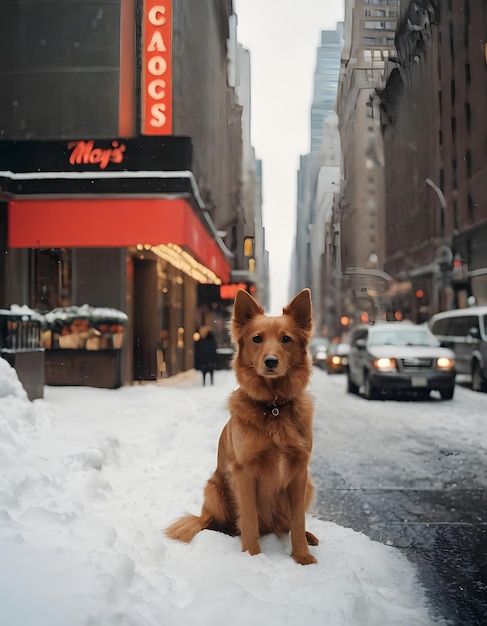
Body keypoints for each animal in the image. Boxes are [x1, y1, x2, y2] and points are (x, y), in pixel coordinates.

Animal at [166, 290, 318, 564]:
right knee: (217, 524)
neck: (274, 407)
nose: (270, 361)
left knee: (287, 524)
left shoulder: (300, 473)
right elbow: (248, 520)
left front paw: (302, 556)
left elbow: (298, 520)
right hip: (214, 489)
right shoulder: (245, 472)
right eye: (257, 339)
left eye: (286, 339)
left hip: (309, 486)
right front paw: (252, 556)